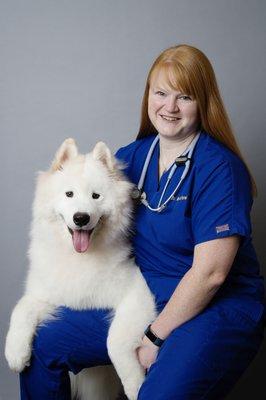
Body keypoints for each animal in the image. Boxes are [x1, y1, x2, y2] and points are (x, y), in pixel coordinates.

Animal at [4, 138, 156, 400]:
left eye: (96, 196)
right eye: (69, 194)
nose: (81, 218)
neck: (79, 258)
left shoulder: (138, 295)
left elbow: (115, 341)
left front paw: (136, 385)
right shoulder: (45, 294)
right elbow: (21, 309)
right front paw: (15, 353)